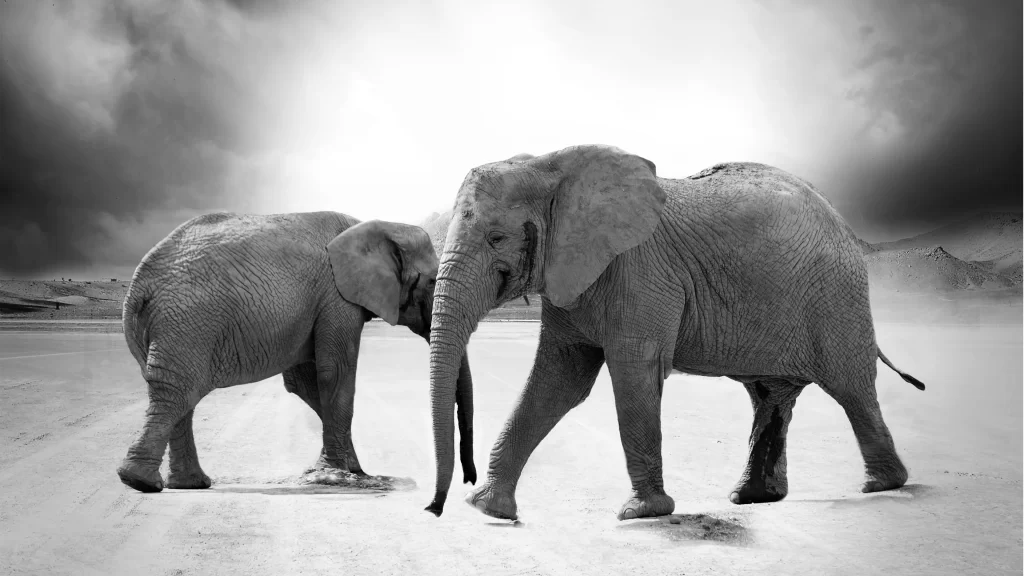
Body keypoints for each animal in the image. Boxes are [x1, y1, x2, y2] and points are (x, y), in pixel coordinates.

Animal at [117, 211, 477, 493]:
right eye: (432, 282)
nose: (469, 482)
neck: (376, 226)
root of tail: (138, 286)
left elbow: (306, 382)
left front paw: (353, 470)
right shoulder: (336, 296)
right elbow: (334, 374)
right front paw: (341, 474)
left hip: (173, 327)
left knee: (180, 395)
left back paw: (188, 484)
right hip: (187, 322)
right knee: (178, 392)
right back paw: (141, 482)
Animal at [423, 144, 925, 520]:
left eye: (496, 238)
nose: (435, 508)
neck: (551, 166)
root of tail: (842, 222)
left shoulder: (641, 272)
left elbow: (634, 372)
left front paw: (642, 513)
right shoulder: (573, 278)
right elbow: (558, 381)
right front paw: (488, 508)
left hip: (837, 298)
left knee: (851, 387)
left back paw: (881, 484)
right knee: (770, 397)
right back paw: (753, 498)